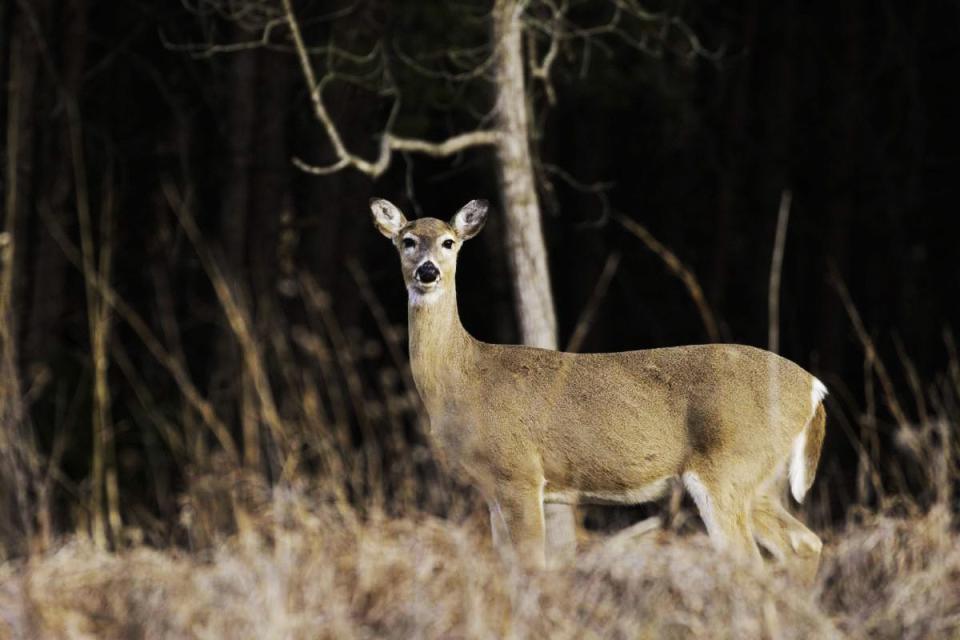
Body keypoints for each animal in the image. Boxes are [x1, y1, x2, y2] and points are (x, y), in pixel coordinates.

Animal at [372, 199, 828, 580]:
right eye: (407, 241)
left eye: (449, 242)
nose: (427, 271)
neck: (463, 380)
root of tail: (814, 389)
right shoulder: (492, 488)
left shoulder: (519, 472)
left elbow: (532, 567)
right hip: (761, 479)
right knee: (805, 543)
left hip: (729, 467)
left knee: (750, 559)